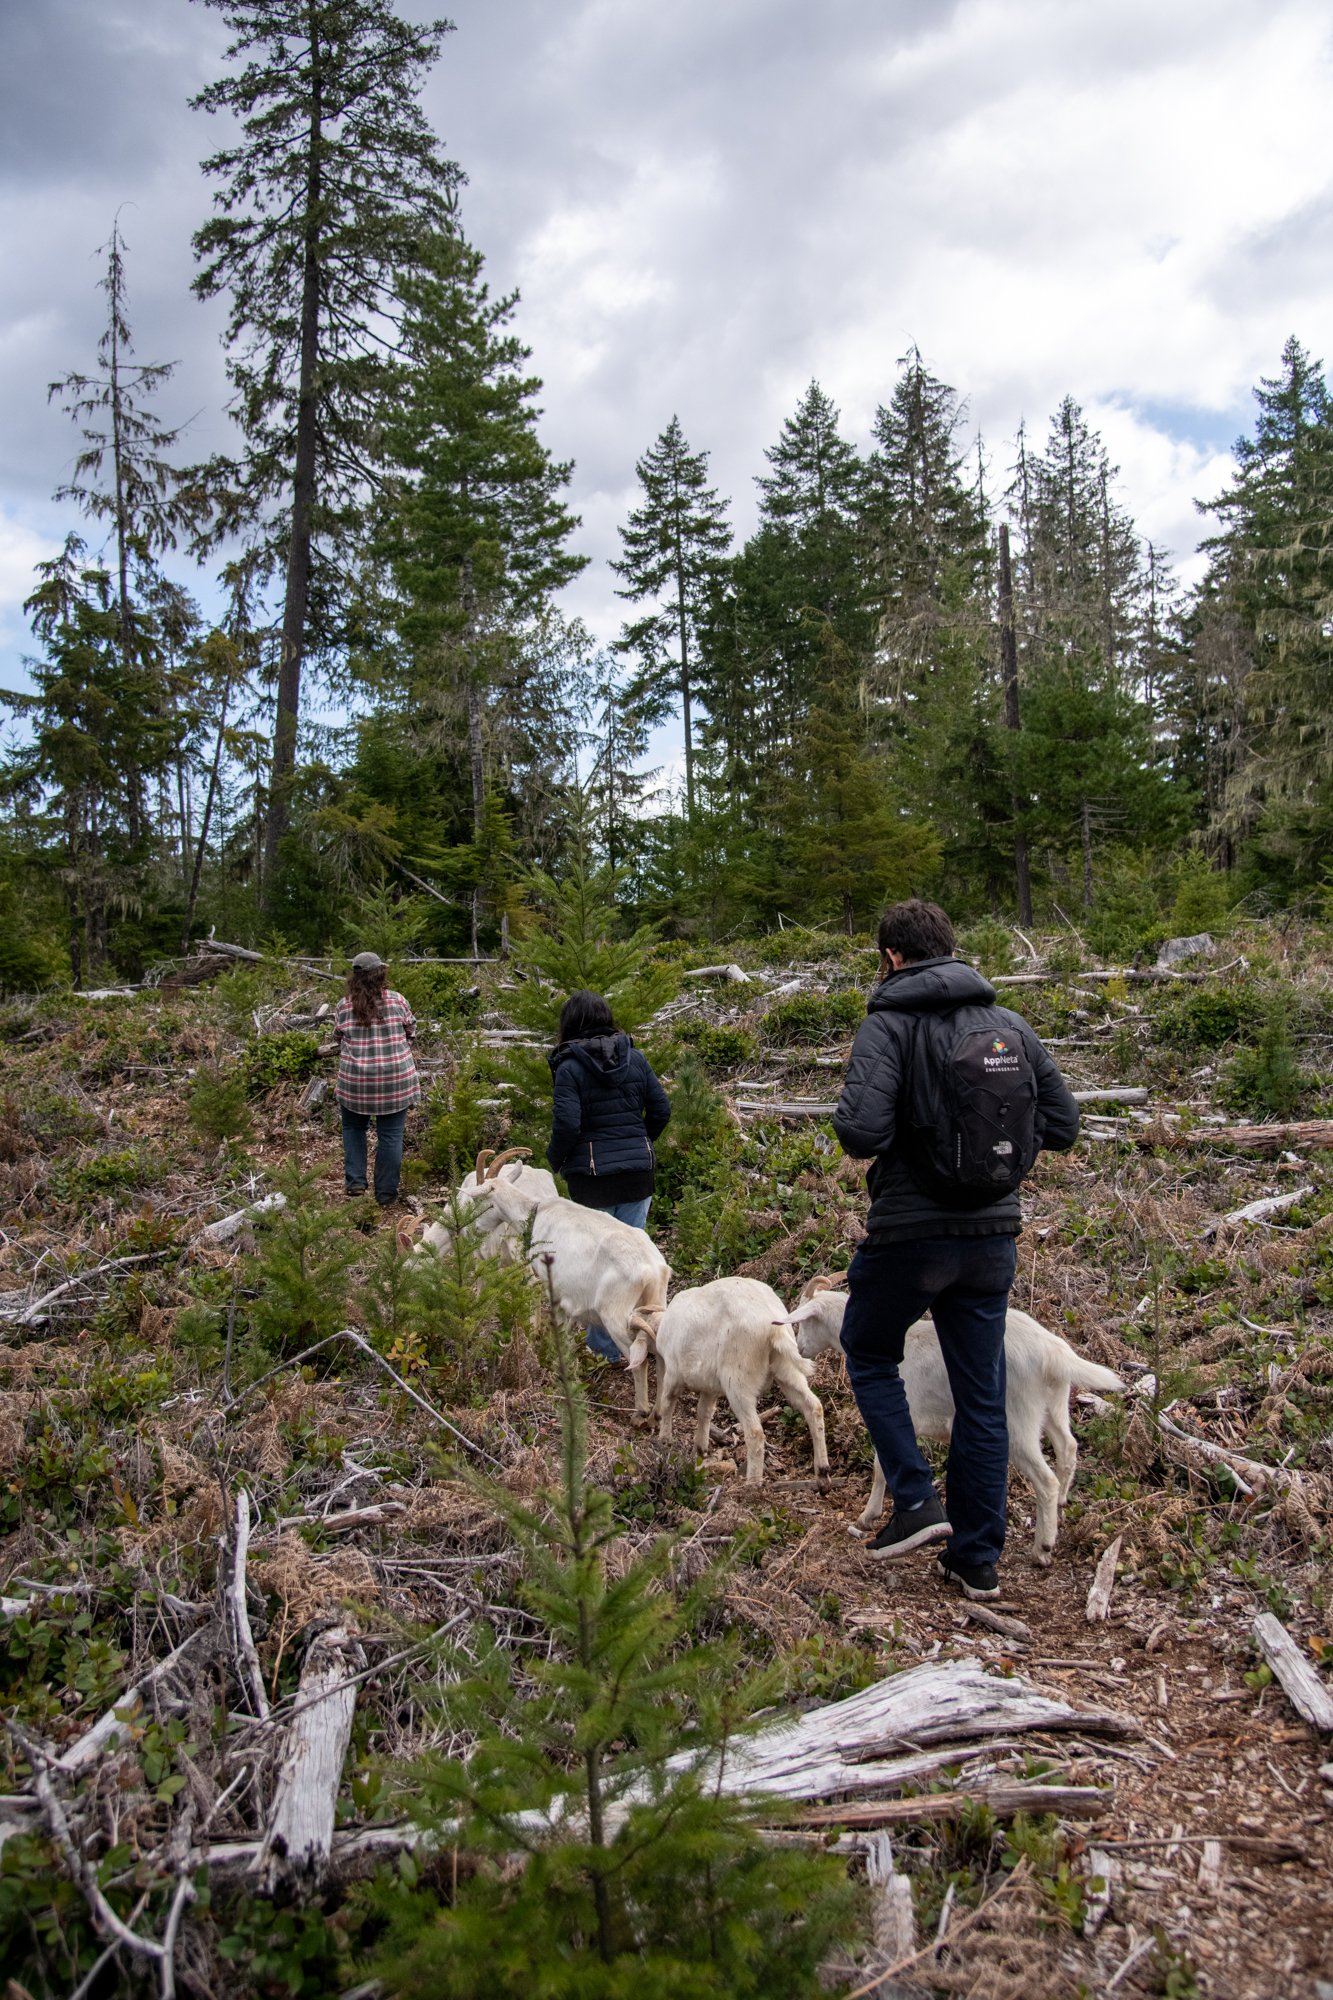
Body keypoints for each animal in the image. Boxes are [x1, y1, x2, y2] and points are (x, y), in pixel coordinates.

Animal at [476, 1170, 670, 1417]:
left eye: (479, 1200)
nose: (475, 1228)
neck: (535, 1214)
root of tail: (652, 1271)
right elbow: (566, 1329)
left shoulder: (550, 1282)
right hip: (657, 1303)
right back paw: (658, 1414)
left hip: (616, 1316)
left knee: (640, 1359)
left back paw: (641, 1413)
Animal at [637, 1276, 828, 1485]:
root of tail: (773, 1327)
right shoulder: (710, 1388)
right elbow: (704, 1412)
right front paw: (700, 1450)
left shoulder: (673, 1374)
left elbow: (668, 1403)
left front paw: (664, 1440)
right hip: (787, 1368)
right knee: (813, 1407)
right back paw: (823, 1475)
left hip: (738, 1379)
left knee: (755, 1432)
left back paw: (752, 1484)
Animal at [787, 1276, 1123, 1562]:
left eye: (803, 1320)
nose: (800, 1349)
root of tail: (1054, 1352)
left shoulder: (905, 1413)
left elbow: (883, 1465)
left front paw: (869, 1516)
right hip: (1054, 1405)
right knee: (1068, 1447)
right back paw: (1062, 1505)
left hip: (1019, 1421)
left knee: (1046, 1480)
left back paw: (1042, 1547)